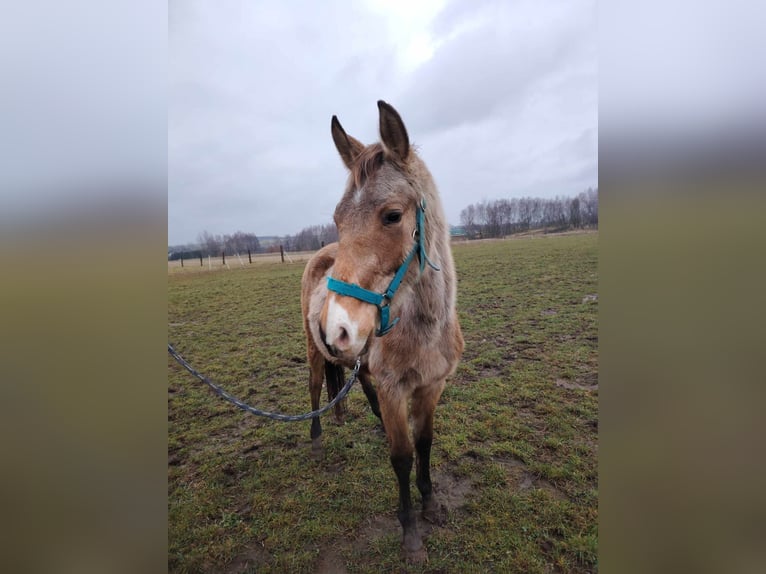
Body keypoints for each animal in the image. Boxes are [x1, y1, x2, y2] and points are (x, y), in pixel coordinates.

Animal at [304, 101, 464, 564]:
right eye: (338, 218)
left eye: (392, 216)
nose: (335, 326)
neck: (424, 329)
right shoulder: (397, 389)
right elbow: (402, 457)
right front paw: (410, 533)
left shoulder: (431, 386)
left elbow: (424, 443)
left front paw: (431, 505)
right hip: (314, 353)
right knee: (317, 387)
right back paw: (318, 438)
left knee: (358, 384)